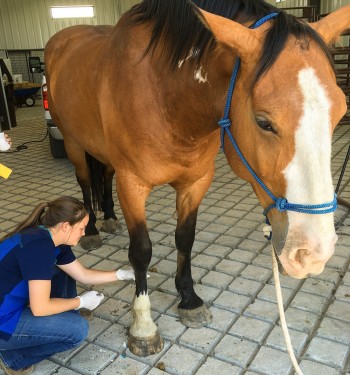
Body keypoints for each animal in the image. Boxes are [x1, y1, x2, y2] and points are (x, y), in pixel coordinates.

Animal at [44, 0, 350, 358]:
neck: (164, 93)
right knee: (84, 182)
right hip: (74, 144)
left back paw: (108, 217)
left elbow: (185, 239)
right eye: (263, 122)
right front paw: (143, 326)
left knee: (103, 176)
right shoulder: (132, 185)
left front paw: (188, 299)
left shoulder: (196, 183)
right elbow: (141, 252)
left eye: (340, 114)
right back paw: (91, 228)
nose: (313, 253)